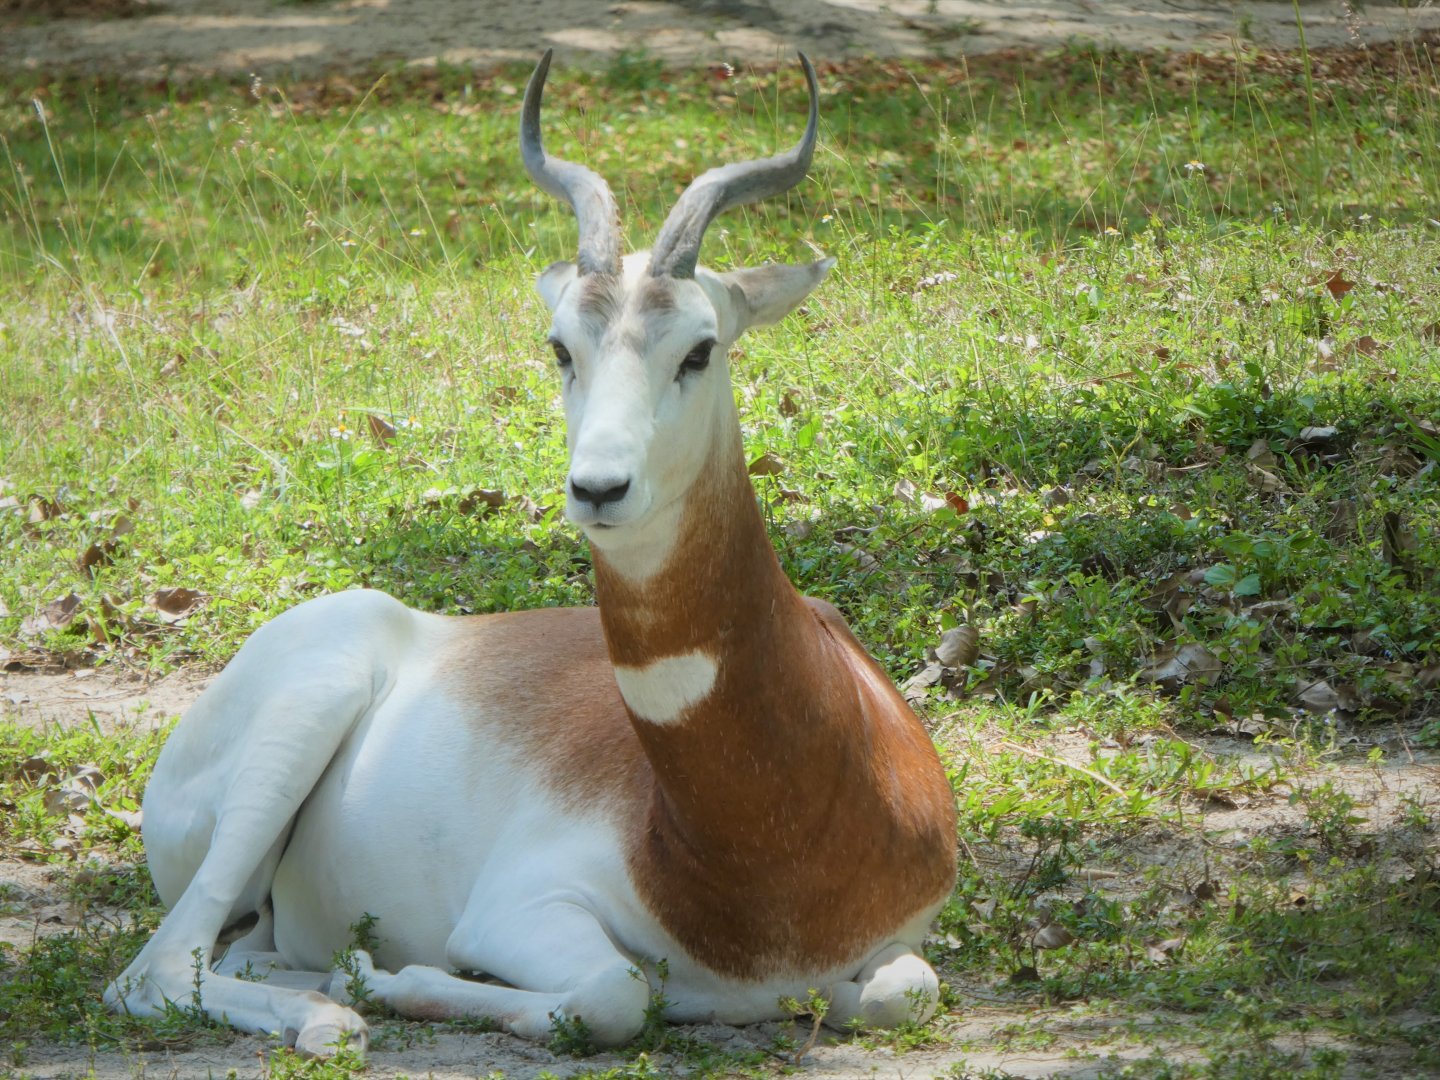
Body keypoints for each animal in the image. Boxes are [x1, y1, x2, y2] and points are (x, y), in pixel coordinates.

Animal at [105, 52, 957, 1056]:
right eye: (561, 347)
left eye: (699, 348)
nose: (599, 488)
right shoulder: (518, 908)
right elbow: (617, 993)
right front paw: (387, 977)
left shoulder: (901, 940)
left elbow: (901, 992)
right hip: (298, 726)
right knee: (156, 971)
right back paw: (329, 1010)